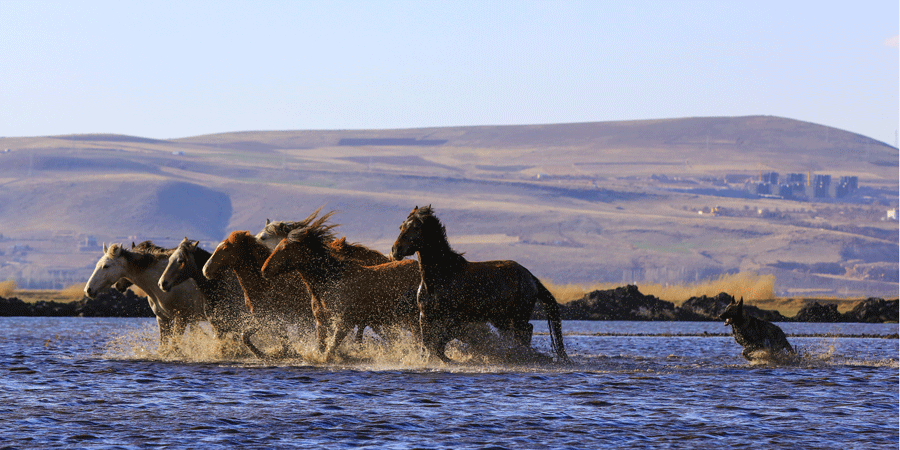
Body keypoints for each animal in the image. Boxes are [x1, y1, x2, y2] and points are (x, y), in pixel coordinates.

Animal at [256, 216, 418, 360]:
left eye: (285, 248)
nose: (264, 270)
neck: (329, 282)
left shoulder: (344, 322)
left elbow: (330, 350)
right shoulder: (321, 322)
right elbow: (322, 347)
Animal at [388, 206, 568, 364]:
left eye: (416, 228)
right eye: (401, 226)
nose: (396, 250)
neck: (441, 276)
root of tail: (529, 276)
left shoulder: (455, 320)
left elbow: (437, 344)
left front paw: (452, 360)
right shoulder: (425, 317)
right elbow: (426, 345)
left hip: (518, 316)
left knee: (526, 331)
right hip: (501, 318)